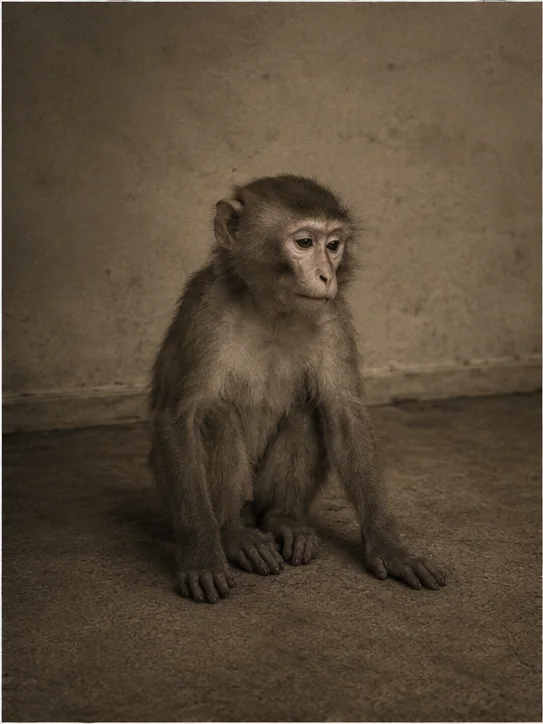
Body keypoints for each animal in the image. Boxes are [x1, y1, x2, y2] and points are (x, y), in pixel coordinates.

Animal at [149, 174, 446, 604]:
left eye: (333, 245)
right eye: (304, 242)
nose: (326, 275)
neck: (271, 310)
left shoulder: (333, 317)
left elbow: (343, 414)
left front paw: (390, 547)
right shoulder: (205, 310)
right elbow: (179, 417)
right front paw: (202, 555)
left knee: (307, 411)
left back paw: (284, 520)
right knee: (218, 416)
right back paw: (232, 533)